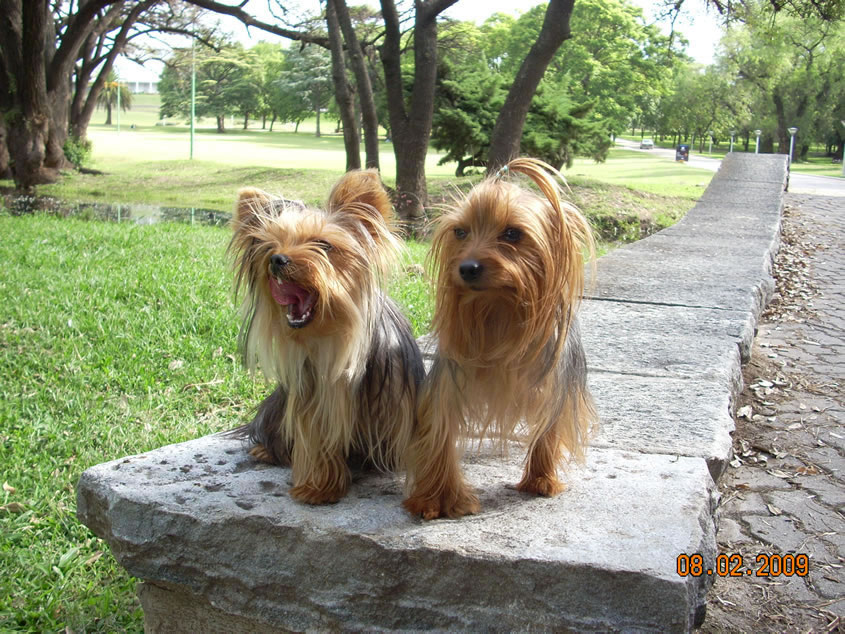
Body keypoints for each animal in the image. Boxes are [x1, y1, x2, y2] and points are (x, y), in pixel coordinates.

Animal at [227, 169, 422, 504]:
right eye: (270, 245)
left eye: (323, 244)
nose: (277, 260)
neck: (333, 334)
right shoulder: (310, 392)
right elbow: (315, 438)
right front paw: (318, 487)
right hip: (279, 403)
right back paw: (266, 449)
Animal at [402, 156, 592, 516]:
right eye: (460, 232)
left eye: (513, 233)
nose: (467, 268)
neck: (499, 311)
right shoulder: (449, 380)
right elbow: (439, 430)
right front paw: (436, 498)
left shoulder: (555, 384)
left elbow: (548, 428)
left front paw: (540, 478)